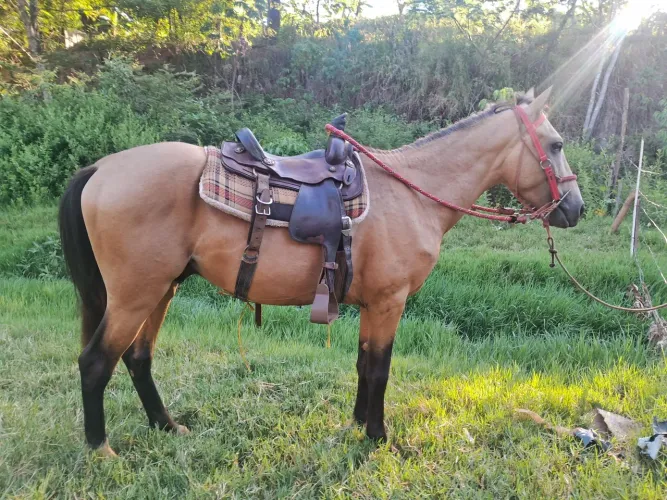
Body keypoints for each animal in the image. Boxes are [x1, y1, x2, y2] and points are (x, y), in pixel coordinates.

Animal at [59, 87, 584, 456]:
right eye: (556, 144)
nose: (576, 208)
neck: (410, 195)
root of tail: (101, 168)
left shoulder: (372, 304)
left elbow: (363, 364)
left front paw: (356, 425)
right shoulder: (390, 302)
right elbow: (380, 369)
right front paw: (378, 436)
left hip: (161, 289)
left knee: (138, 358)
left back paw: (166, 426)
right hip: (134, 295)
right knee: (96, 362)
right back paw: (101, 449)